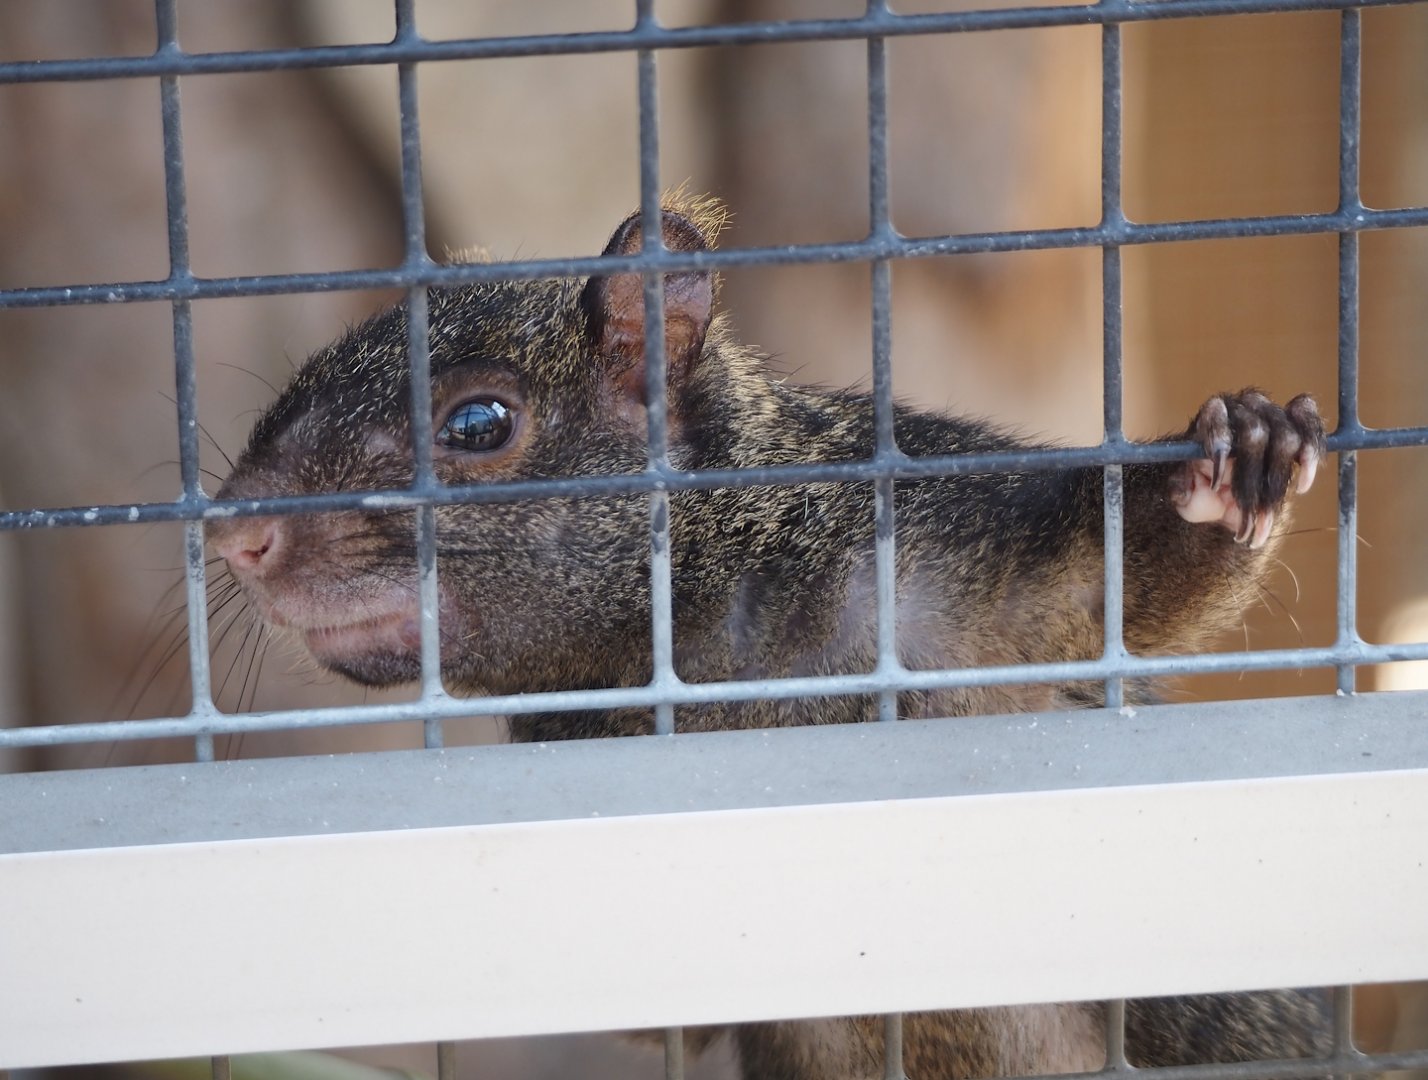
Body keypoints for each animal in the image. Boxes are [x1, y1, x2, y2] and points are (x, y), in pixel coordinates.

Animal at [208, 194, 1332, 1080]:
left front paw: (1237, 464)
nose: (234, 533)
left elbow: (1108, 588)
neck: (712, 646)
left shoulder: (953, 577)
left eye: (479, 423)